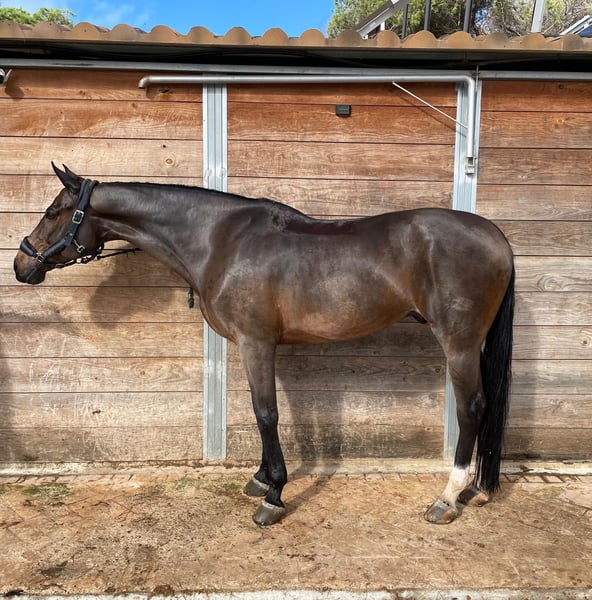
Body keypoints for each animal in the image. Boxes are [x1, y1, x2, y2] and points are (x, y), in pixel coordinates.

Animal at [14, 163, 515, 527]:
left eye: (54, 211)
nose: (22, 264)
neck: (220, 241)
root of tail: (496, 236)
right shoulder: (254, 345)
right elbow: (261, 412)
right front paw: (259, 479)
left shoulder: (256, 343)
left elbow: (265, 414)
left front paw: (273, 494)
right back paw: (475, 489)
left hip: (459, 343)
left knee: (472, 408)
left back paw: (448, 497)